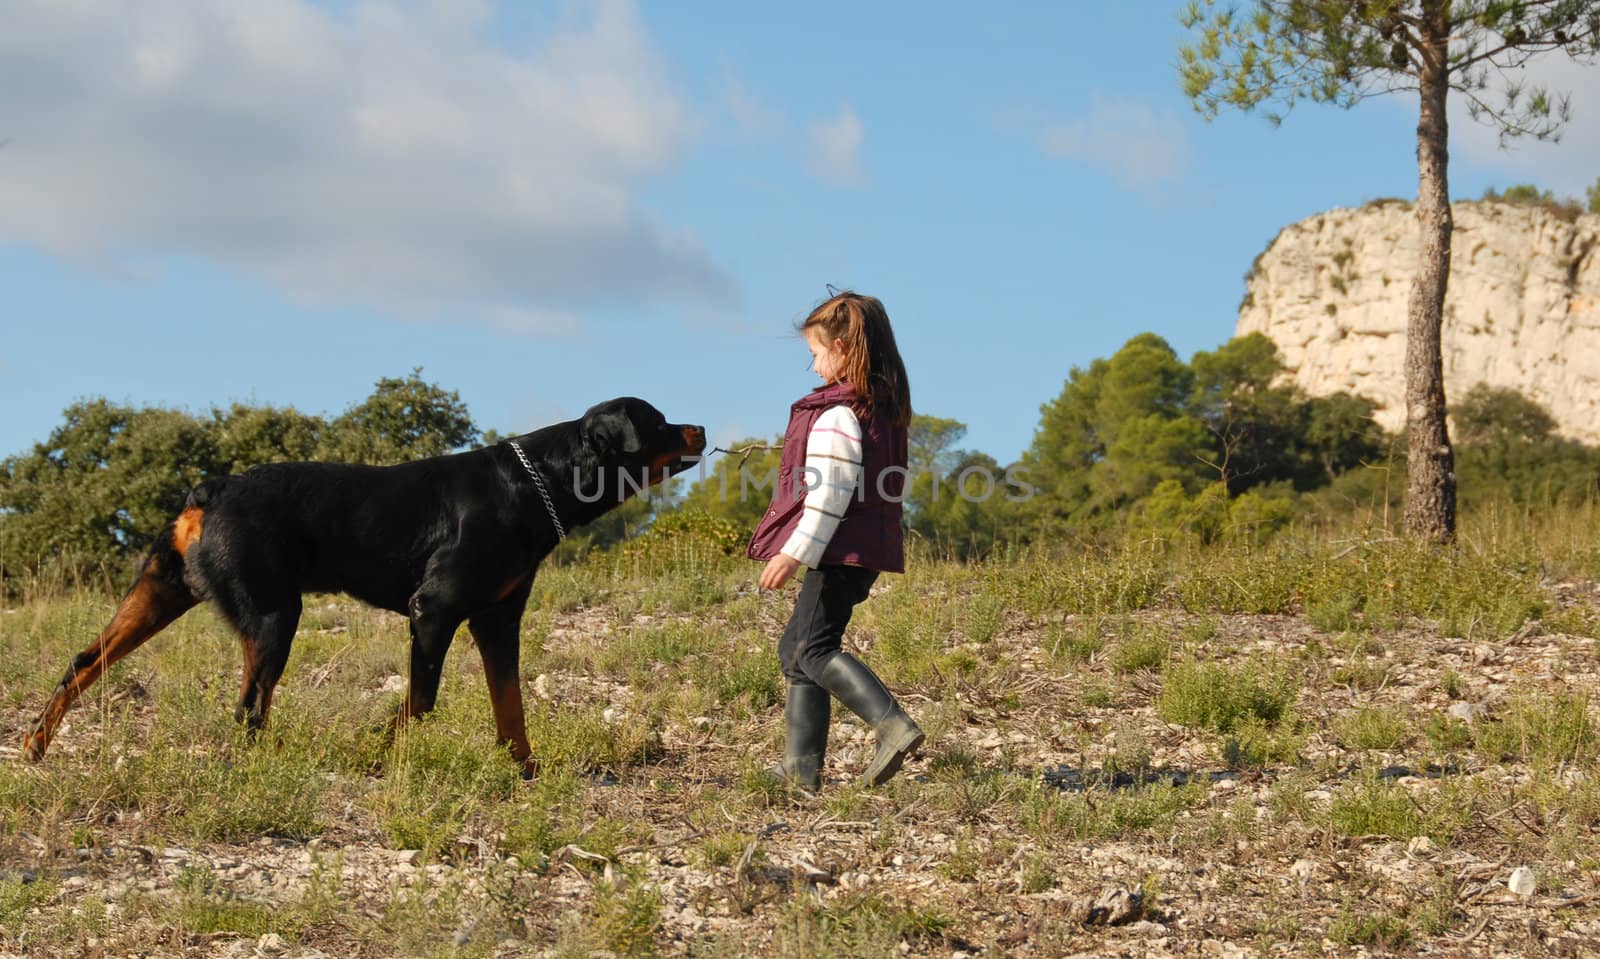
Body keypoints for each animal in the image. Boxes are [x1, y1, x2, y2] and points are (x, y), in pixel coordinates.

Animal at [25, 400, 707, 781]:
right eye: (658, 421)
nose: (700, 427)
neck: (539, 480)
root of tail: (211, 490)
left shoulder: (497, 620)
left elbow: (510, 707)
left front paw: (526, 771)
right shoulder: (432, 611)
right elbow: (420, 704)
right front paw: (370, 755)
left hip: (162, 595)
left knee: (84, 661)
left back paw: (35, 744)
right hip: (274, 617)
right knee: (249, 707)